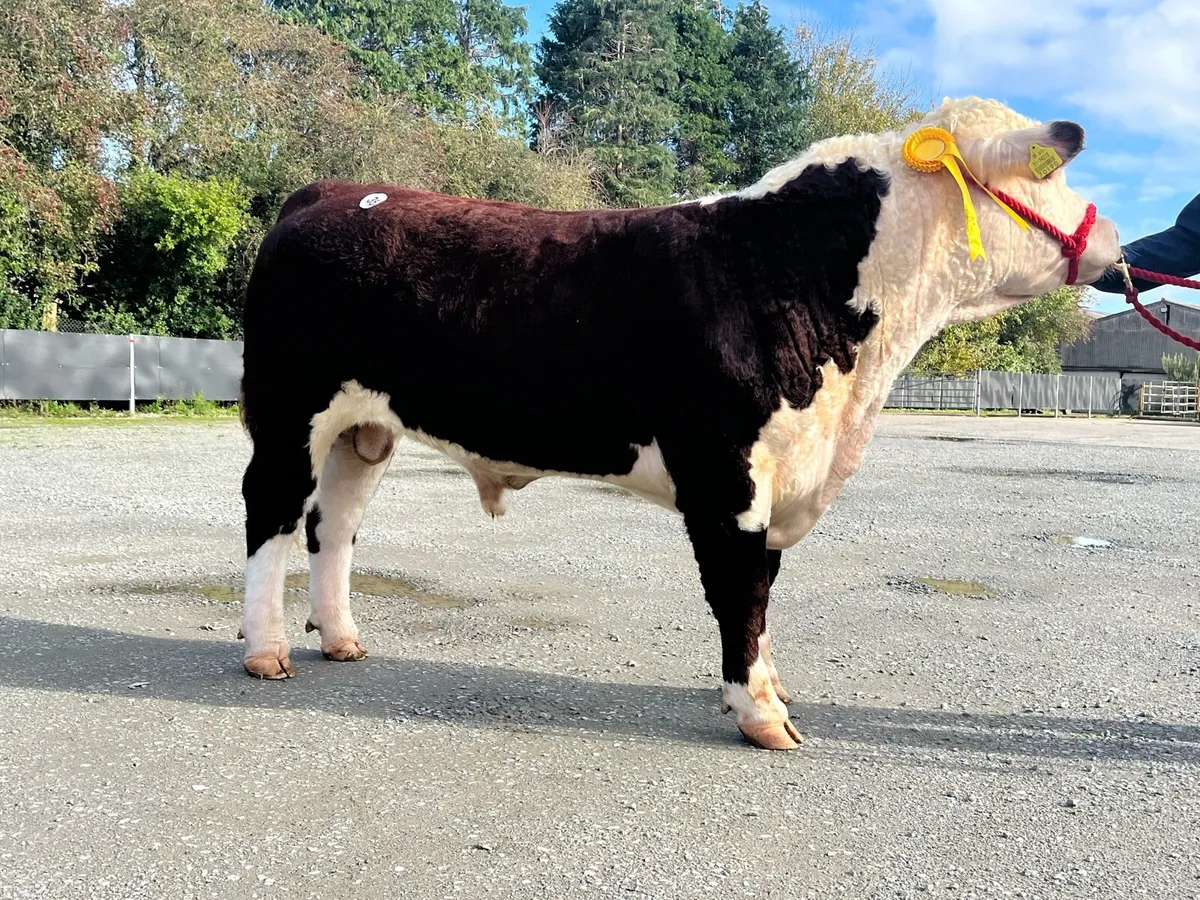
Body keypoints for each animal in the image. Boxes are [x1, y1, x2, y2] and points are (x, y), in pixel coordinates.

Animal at [236, 96, 1121, 750]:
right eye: (1049, 175)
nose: (1113, 239)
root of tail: (328, 192)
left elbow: (761, 591)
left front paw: (767, 691)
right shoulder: (726, 477)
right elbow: (742, 592)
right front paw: (762, 713)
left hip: (364, 431)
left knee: (333, 524)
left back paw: (340, 637)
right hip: (287, 411)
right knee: (270, 514)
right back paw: (266, 649)